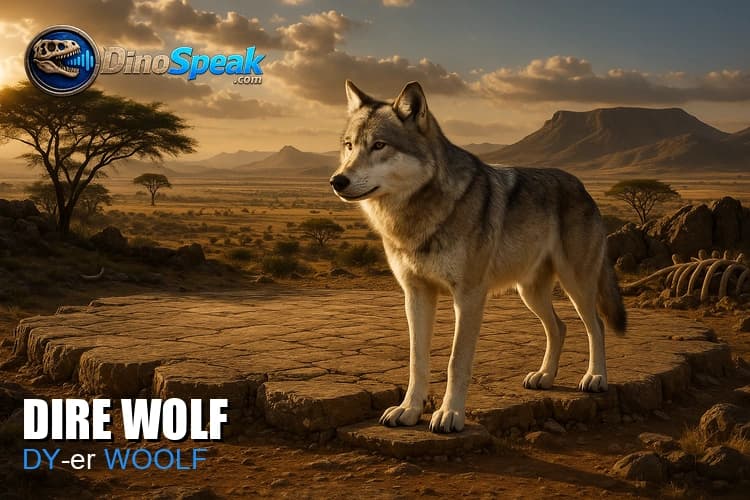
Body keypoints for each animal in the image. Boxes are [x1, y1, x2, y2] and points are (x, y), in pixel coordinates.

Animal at [330, 80, 626, 433]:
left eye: (379, 145)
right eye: (349, 146)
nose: (337, 180)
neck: (416, 217)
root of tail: (583, 188)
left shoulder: (469, 296)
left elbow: (456, 361)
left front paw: (450, 415)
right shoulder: (415, 294)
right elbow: (418, 361)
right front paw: (409, 410)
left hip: (576, 285)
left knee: (596, 325)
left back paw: (595, 377)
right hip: (530, 293)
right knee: (560, 327)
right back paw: (544, 376)